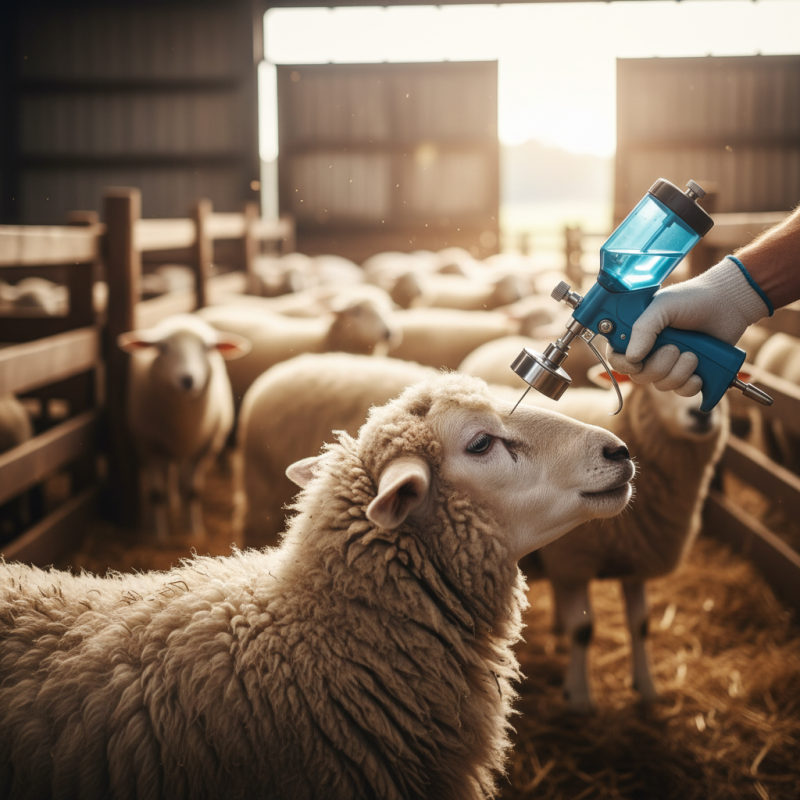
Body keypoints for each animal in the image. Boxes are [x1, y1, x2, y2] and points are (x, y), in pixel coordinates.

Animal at [117, 314, 250, 541]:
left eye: (207, 348)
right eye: (162, 347)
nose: (187, 379)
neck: (182, 422)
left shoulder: (206, 448)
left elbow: (192, 490)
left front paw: (194, 531)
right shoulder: (148, 447)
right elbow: (156, 493)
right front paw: (160, 535)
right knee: (168, 474)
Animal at [505, 371, 729, 713]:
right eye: (657, 386)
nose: (701, 415)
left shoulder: (636, 559)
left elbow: (641, 624)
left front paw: (647, 688)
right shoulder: (574, 561)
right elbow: (583, 630)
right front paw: (580, 696)